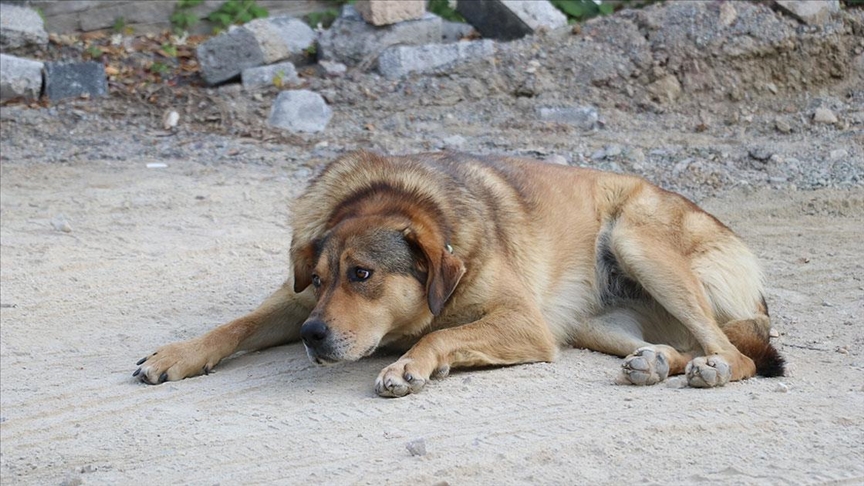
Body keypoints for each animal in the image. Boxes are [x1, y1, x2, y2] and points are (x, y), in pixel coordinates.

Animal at [133, 150, 784, 396]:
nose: (311, 339)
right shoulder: (293, 305)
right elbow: (235, 325)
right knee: (683, 346)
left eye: (362, 274)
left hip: (636, 242)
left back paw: (713, 369)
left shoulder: (524, 323)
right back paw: (654, 362)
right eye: (317, 280)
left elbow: (442, 335)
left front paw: (409, 365)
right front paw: (177, 355)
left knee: (738, 352)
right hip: (597, 326)